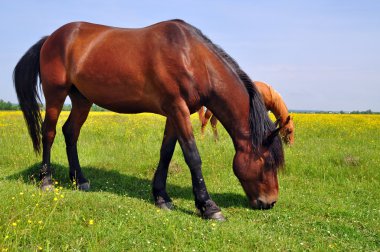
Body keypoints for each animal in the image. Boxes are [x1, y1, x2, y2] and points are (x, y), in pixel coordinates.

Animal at [13, 20, 284, 220]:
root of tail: (51, 38)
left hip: (82, 99)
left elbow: (166, 153)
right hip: (55, 95)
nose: (270, 202)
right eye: (268, 163)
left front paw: (161, 197)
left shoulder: (175, 113)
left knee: (71, 132)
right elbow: (193, 156)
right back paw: (46, 181)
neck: (190, 56)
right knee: (49, 133)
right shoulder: (177, 109)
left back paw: (79, 180)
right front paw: (208, 206)